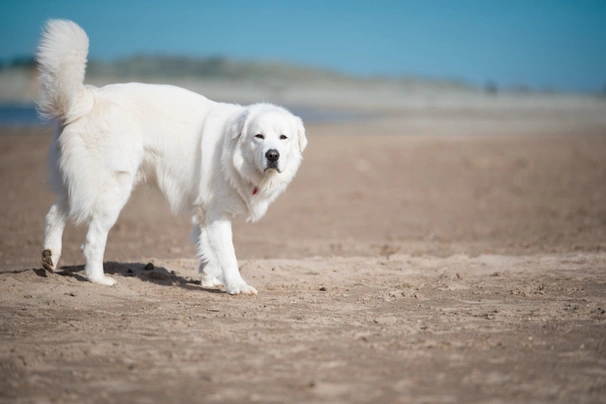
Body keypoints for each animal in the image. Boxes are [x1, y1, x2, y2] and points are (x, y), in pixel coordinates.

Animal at [35, 19, 306, 294]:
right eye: (258, 136)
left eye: (283, 138)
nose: (272, 155)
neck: (233, 157)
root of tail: (88, 98)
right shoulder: (217, 214)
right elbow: (227, 254)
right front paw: (237, 285)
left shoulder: (205, 214)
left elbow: (208, 252)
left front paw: (209, 281)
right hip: (111, 190)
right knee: (92, 239)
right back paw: (97, 278)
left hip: (82, 182)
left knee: (55, 211)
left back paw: (50, 257)